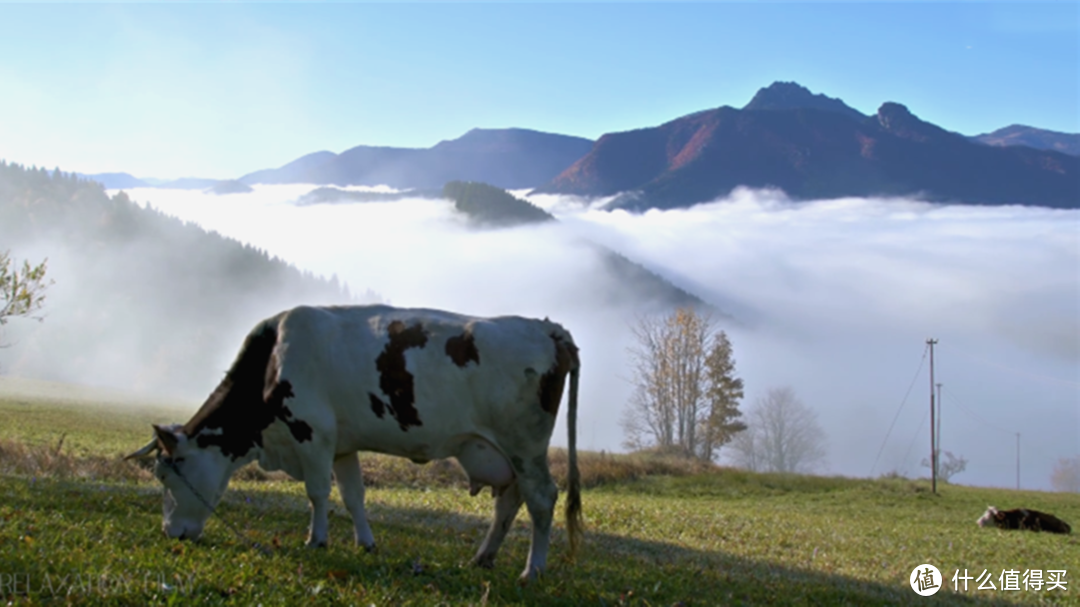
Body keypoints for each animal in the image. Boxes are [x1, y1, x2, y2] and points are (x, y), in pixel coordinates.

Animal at [124, 304, 583, 578]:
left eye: (164, 477)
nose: (170, 533)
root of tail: (548, 328)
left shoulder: (311, 432)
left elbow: (317, 492)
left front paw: (316, 540)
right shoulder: (343, 444)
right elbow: (352, 495)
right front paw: (365, 543)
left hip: (524, 446)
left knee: (542, 498)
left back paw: (532, 570)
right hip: (504, 452)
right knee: (510, 500)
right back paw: (483, 557)